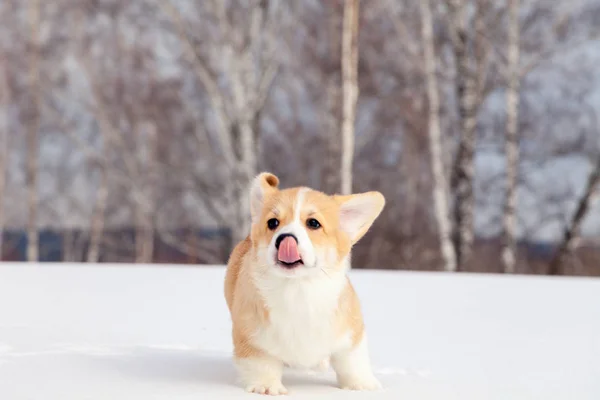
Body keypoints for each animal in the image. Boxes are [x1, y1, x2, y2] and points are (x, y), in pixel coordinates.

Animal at [224, 172, 384, 394]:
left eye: (314, 223)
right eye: (273, 223)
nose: (284, 238)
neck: (297, 288)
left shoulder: (351, 333)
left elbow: (352, 362)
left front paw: (360, 386)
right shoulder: (252, 337)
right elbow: (262, 364)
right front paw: (267, 387)